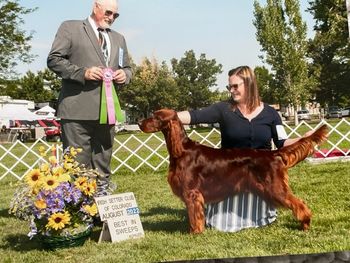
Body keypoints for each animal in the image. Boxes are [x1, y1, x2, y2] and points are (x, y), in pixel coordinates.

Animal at [139, 109, 328, 233]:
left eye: (155, 117)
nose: (140, 123)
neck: (182, 150)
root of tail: (273, 154)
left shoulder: (192, 193)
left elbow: (194, 217)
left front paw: (195, 233)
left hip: (275, 187)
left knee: (299, 204)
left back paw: (305, 224)